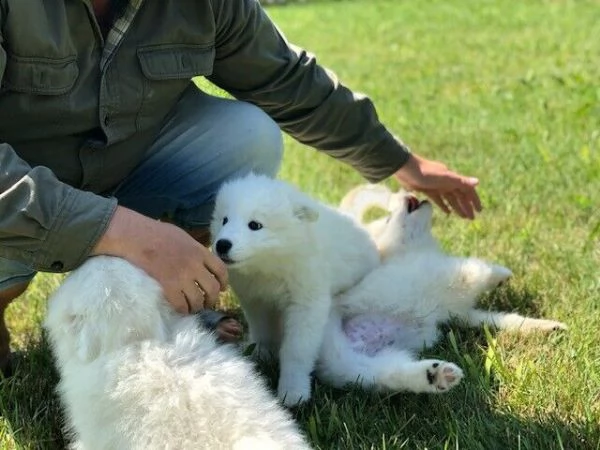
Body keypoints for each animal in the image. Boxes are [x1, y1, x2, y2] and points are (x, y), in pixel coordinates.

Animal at [212, 172, 380, 404]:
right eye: (224, 220)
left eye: (255, 225)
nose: (222, 244)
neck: (270, 265)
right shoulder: (255, 300)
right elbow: (262, 331)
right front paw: (262, 355)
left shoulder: (306, 301)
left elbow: (297, 350)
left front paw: (293, 392)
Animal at [314, 185, 568, 392]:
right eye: (387, 220)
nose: (404, 192)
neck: (407, 252)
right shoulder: (441, 276)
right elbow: (475, 270)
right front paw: (500, 274)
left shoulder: (458, 313)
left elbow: (498, 318)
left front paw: (546, 326)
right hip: (338, 349)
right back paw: (436, 375)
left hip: (354, 360)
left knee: (381, 373)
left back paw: (434, 375)